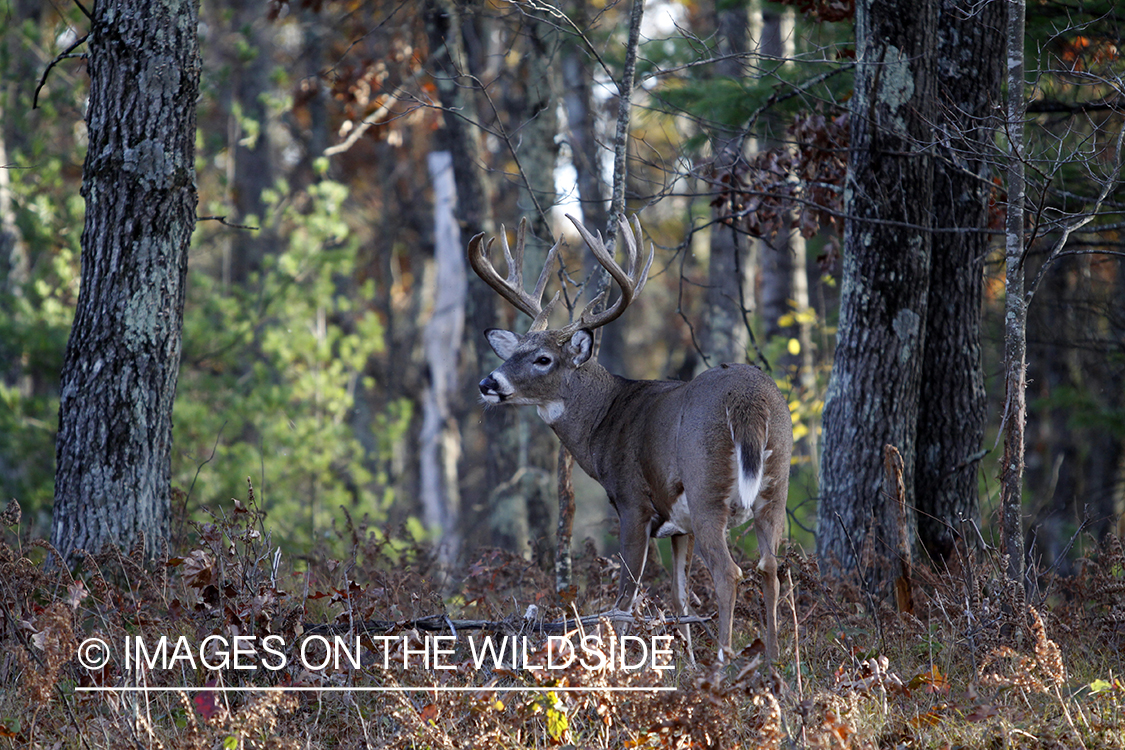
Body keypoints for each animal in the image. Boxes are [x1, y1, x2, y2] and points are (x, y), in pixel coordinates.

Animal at [470, 212, 796, 661]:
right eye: (512, 353)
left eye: (543, 359)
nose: (488, 383)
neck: (606, 420)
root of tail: (750, 401)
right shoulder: (680, 526)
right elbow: (679, 598)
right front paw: (683, 661)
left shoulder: (632, 502)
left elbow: (625, 598)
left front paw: (617, 663)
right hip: (775, 486)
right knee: (770, 568)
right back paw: (774, 661)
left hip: (707, 487)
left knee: (729, 572)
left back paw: (725, 661)